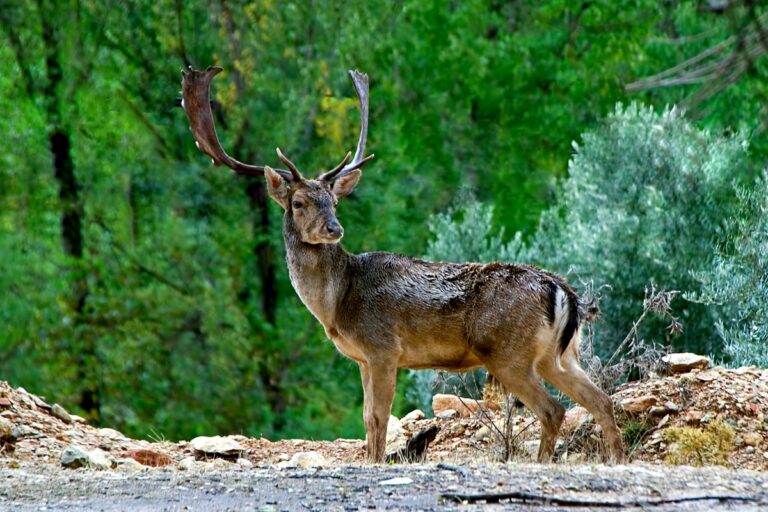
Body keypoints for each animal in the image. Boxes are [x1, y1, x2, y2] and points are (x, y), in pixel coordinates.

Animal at [178, 67, 624, 464]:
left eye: (333, 201)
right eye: (300, 202)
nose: (334, 228)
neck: (337, 304)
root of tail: (563, 293)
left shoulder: (382, 348)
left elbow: (378, 418)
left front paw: (375, 463)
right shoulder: (361, 358)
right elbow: (367, 420)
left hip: (507, 353)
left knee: (554, 408)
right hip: (559, 355)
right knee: (601, 400)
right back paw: (614, 457)